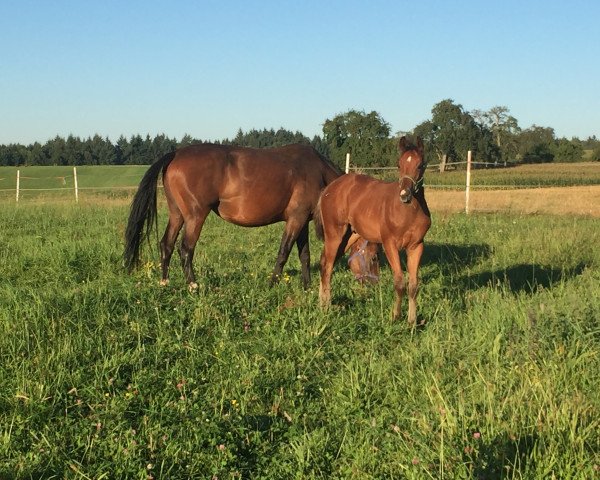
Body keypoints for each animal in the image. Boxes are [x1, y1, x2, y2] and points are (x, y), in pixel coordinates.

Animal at [123, 142, 376, 290]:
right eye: (373, 257)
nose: (373, 285)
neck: (317, 171)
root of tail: (176, 153)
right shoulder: (295, 220)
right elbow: (283, 253)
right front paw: (273, 283)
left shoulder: (302, 221)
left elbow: (304, 255)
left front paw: (307, 286)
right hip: (195, 216)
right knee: (185, 249)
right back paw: (193, 285)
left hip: (177, 214)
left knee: (166, 244)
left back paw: (164, 281)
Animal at [316, 135, 428, 322]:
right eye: (399, 164)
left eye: (420, 165)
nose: (405, 195)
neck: (408, 212)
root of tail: (329, 189)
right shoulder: (390, 245)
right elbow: (399, 282)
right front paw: (395, 316)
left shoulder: (416, 246)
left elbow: (413, 285)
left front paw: (412, 321)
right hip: (334, 234)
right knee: (328, 266)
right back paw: (326, 307)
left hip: (349, 237)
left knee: (324, 261)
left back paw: (321, 301)